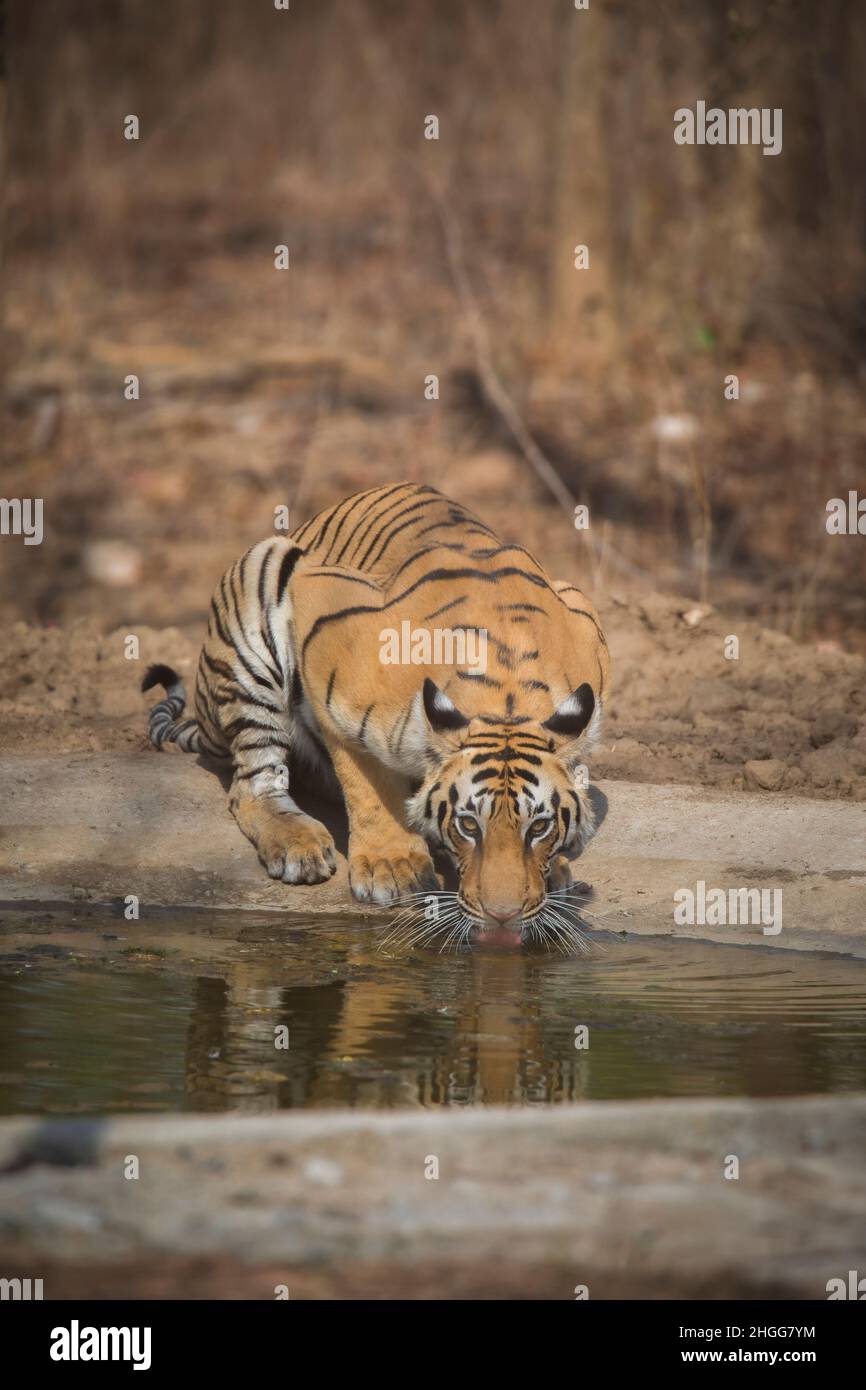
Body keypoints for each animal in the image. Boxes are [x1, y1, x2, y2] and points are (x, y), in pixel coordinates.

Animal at [142, 483, 614, 950]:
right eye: (468, 825)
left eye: (539, 827)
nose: (504, 916)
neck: (506, 699)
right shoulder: (326, 648)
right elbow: (365, 781)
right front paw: (393, 865)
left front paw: (554, 871)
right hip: (261, 582)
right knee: (251, 784)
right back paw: (297, 843)